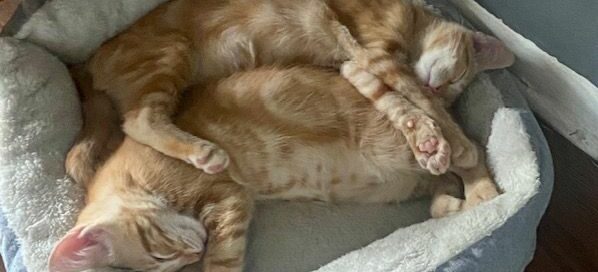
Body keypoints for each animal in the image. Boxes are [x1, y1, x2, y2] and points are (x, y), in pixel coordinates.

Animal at [50, 64, 502, 272]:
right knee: (447, 183)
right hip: (416, 180)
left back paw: (478, 188)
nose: (194, 251)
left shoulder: (230, 197)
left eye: (162, 253)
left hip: (424, 143)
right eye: (171, 265)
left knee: (471, 153)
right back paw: (452, 202)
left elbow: (223, 257)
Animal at [65, 0, 516, 183]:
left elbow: (399, 105)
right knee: (139, 120)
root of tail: (86, 62)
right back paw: (203, 153)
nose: (437, 85)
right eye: (458, 78)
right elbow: (417, 101)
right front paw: (458, 143)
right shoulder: (377, 55)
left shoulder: (356, 67)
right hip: (169, 54)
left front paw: (428, 143)